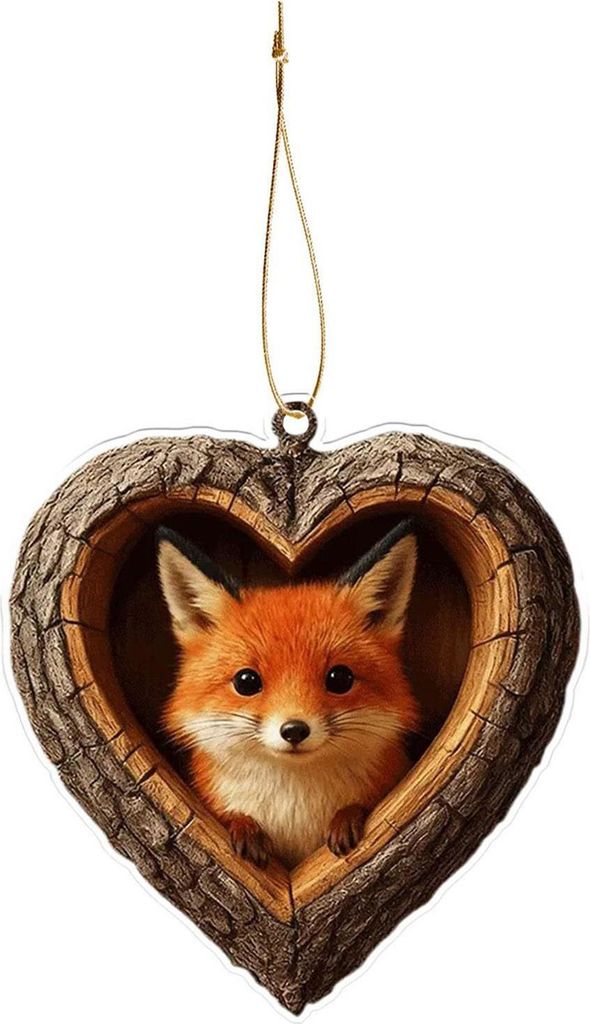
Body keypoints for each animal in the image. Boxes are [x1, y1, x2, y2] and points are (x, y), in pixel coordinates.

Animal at [157, 519, 420, 870]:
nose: (294, 730)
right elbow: (233, 816)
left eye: (340, 678)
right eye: (246, 681)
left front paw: (347, 817)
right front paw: (243, 826)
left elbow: (356, 806)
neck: (294, 803)